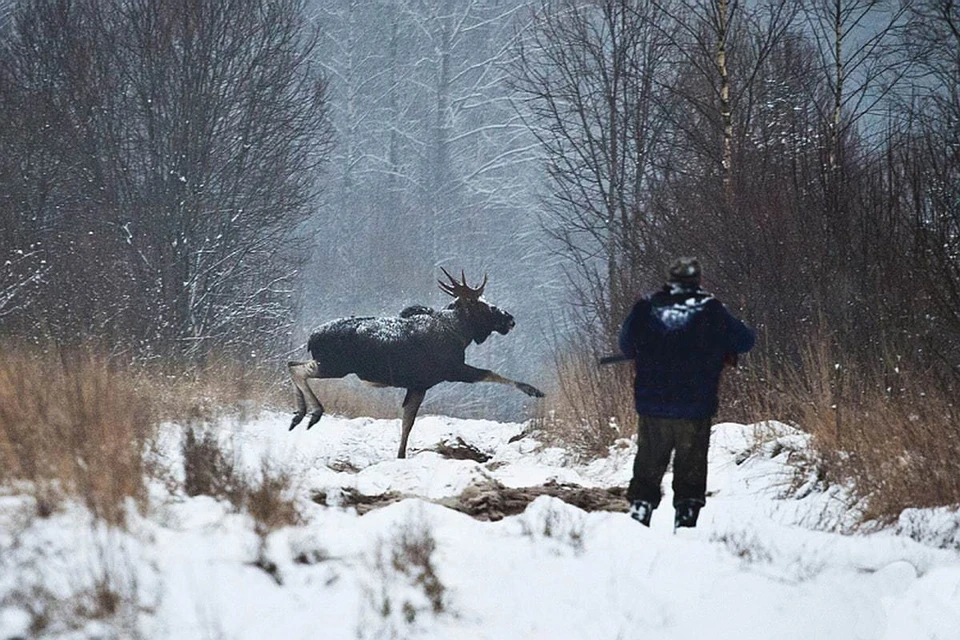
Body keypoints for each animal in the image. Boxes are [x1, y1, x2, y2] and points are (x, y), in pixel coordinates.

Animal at [284, 268, 544, 458]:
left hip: (326, 362)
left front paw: (400, 455)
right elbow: (492, 373)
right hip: (334, 365)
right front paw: (533, 390)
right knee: (298, 370)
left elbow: (407, 422)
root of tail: (312, 337)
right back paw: (313, 413)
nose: (509, 319)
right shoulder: (452, 371)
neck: (460, 335)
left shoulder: (419, 385)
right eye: (480, 304)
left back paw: (298, 415)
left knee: (291, 363)